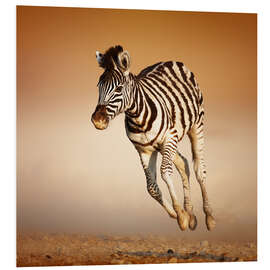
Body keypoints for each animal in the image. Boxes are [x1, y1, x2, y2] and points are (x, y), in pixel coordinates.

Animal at [92, 45, 216, 231]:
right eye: (98, 86)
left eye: (118, 88)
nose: (97, 120)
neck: (137, 117)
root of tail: (170, 61)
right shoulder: (143, 150)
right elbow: (151, 187)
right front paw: (179, 214)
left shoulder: (169, 138)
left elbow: (165, 172)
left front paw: (181, 215)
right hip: (164, 145)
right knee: (183, 163)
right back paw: (191, 214)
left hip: (195, 126)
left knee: (199, 169)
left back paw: (209, 217)